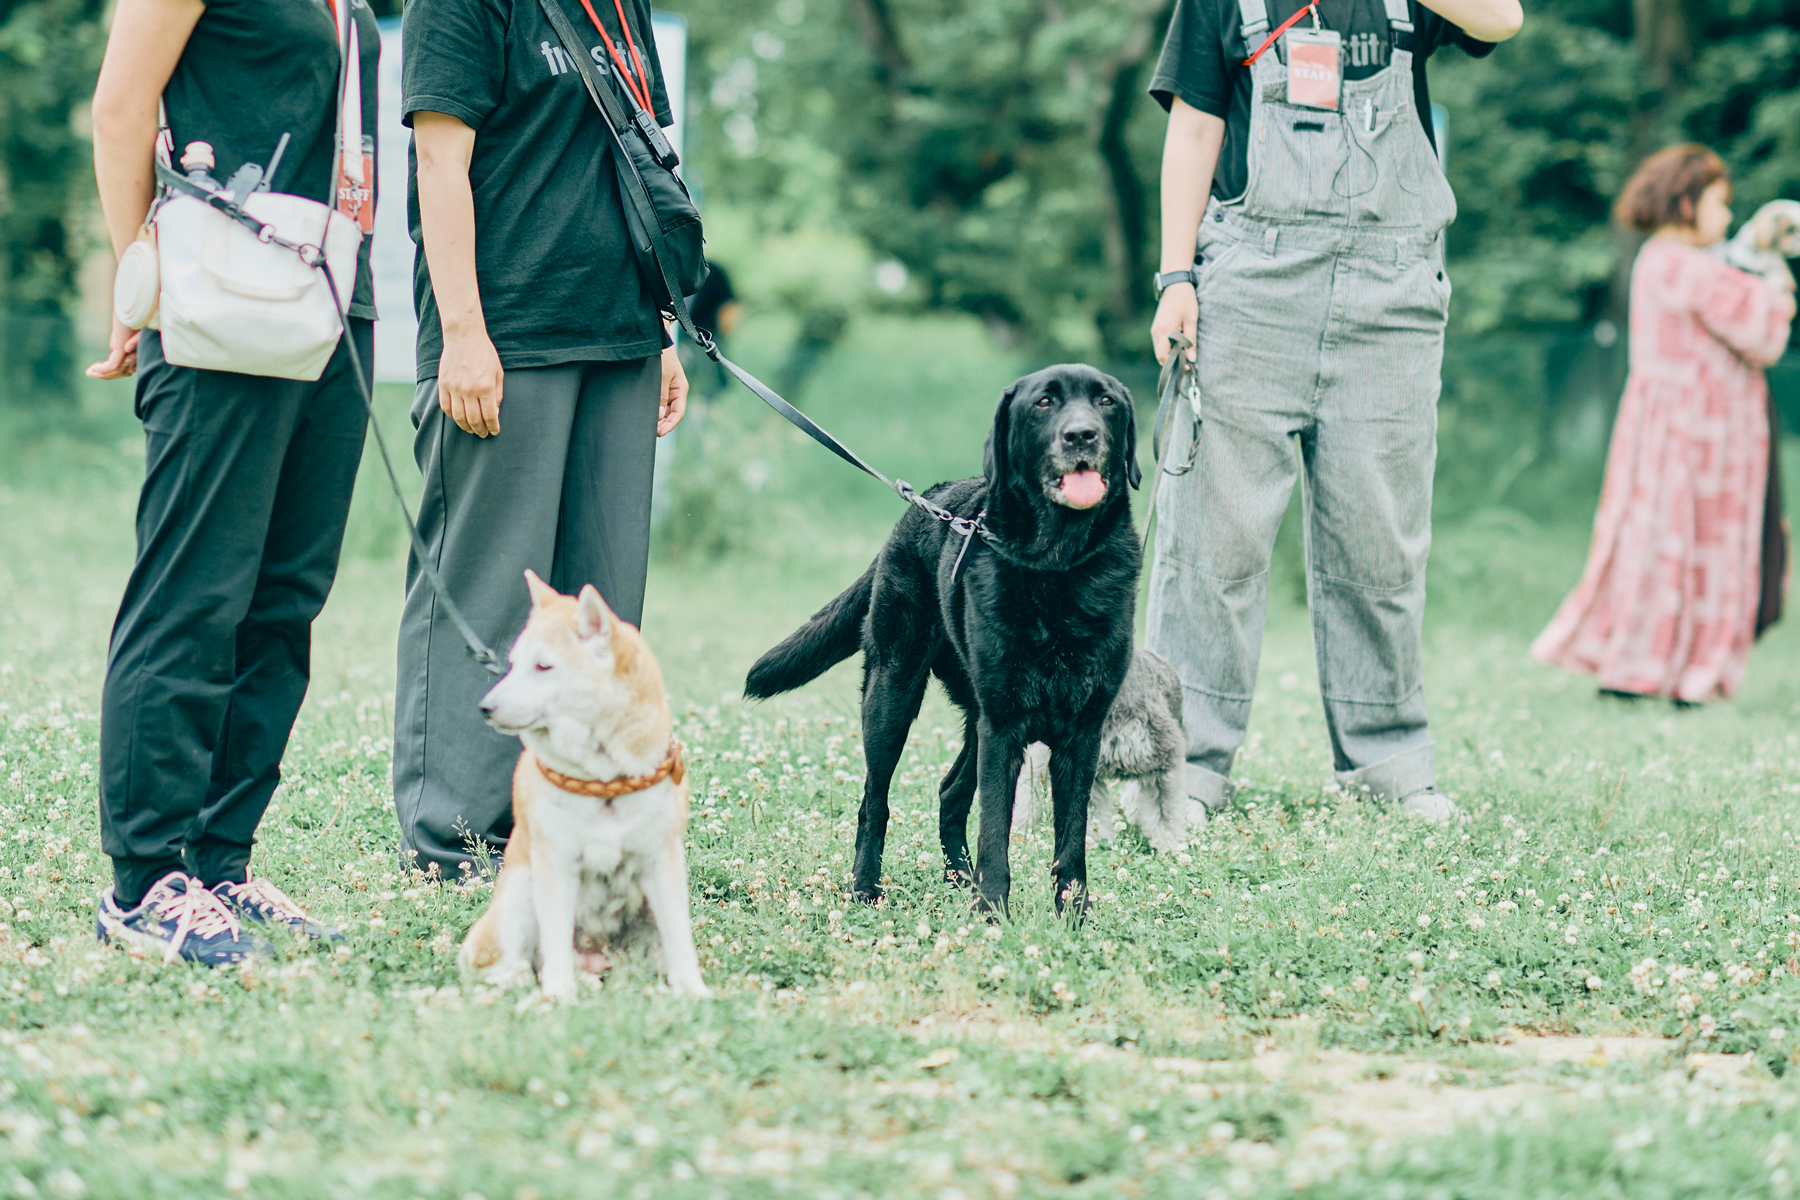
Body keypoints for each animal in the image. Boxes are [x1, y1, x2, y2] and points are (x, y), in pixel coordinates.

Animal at [460, 572, 712, 1007]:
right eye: (513, 665)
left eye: (544, 666)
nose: (485, 708)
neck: (603, 780)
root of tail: (596, 961)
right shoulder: (556, 864)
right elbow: (555, 945)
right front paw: (559, 997)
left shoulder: (661, 862)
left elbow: (681, 942)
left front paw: (693, 991)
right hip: (521, 891)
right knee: (517, 965)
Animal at [745, 361, 1137, 913]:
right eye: (1044, 402)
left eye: (1106, 402)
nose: (1082, 435)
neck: (1056, 566)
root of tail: (924, 502)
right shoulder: (1004, 724)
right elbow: (995, 828)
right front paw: (993, 914)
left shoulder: (1081, 730)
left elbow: (1071, 838)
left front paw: (1072, 918)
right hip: (893, 694)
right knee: (874, 800)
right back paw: (867, 886)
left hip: (974, 715)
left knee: (950, 792)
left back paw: (960, 880)